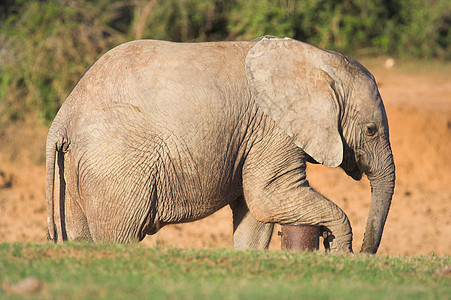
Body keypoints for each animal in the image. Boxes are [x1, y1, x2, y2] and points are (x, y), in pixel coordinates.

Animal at [46, 36, 396, 254]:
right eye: (371, 130)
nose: (365, 254)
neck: (318, 61)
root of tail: (62, 118)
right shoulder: (273, 129)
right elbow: (268, 195)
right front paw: (338, 250)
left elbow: (255, 213)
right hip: (115, 167)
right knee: (120, 234)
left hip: (76, 168)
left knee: (79, 234)